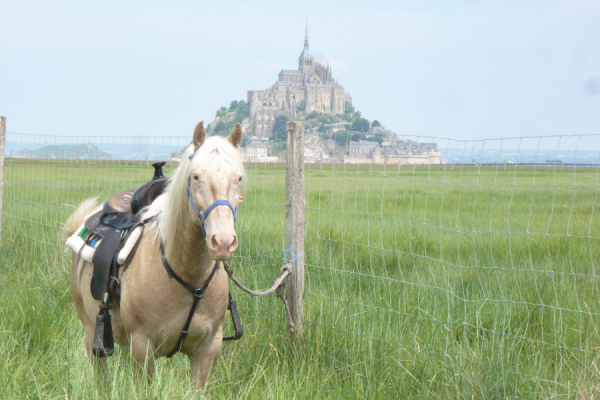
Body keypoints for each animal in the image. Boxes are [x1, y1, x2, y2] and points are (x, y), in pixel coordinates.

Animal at [62, 122, 245, 388]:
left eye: (238, 178)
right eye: (195, 176)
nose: (223, 242)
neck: (187, 274)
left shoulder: (207, 351)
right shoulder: (142, 348)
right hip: (90, 332)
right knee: (101, 378)